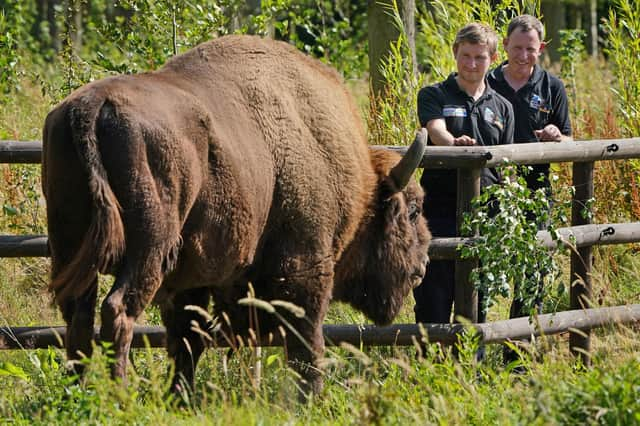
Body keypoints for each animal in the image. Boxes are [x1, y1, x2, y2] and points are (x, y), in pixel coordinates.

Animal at [42, 35, 432, 398]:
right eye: (413, 210)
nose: (423, 265)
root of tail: (92, 108)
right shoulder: (307, 268)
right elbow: (307, 342)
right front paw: (312, 398)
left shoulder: (192, 282)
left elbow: (187, 339)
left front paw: (180, 397)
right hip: (150, 246)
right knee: (118, 311)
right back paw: (120, 397)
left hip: (69, 242)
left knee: (79, 317)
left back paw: (76, 394)